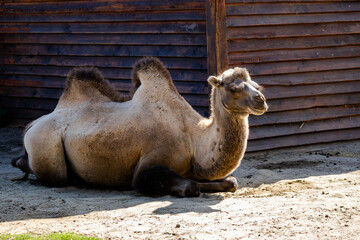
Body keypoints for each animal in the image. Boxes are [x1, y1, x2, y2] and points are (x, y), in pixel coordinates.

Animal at [11, 57, 268, 197]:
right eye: (233, 88)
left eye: (256, 85)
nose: (261, 100)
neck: (193, 139)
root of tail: (32, 124)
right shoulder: (147, 168)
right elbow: (189, 187)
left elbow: (231, 183)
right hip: (46, 145)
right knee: (52, 175)